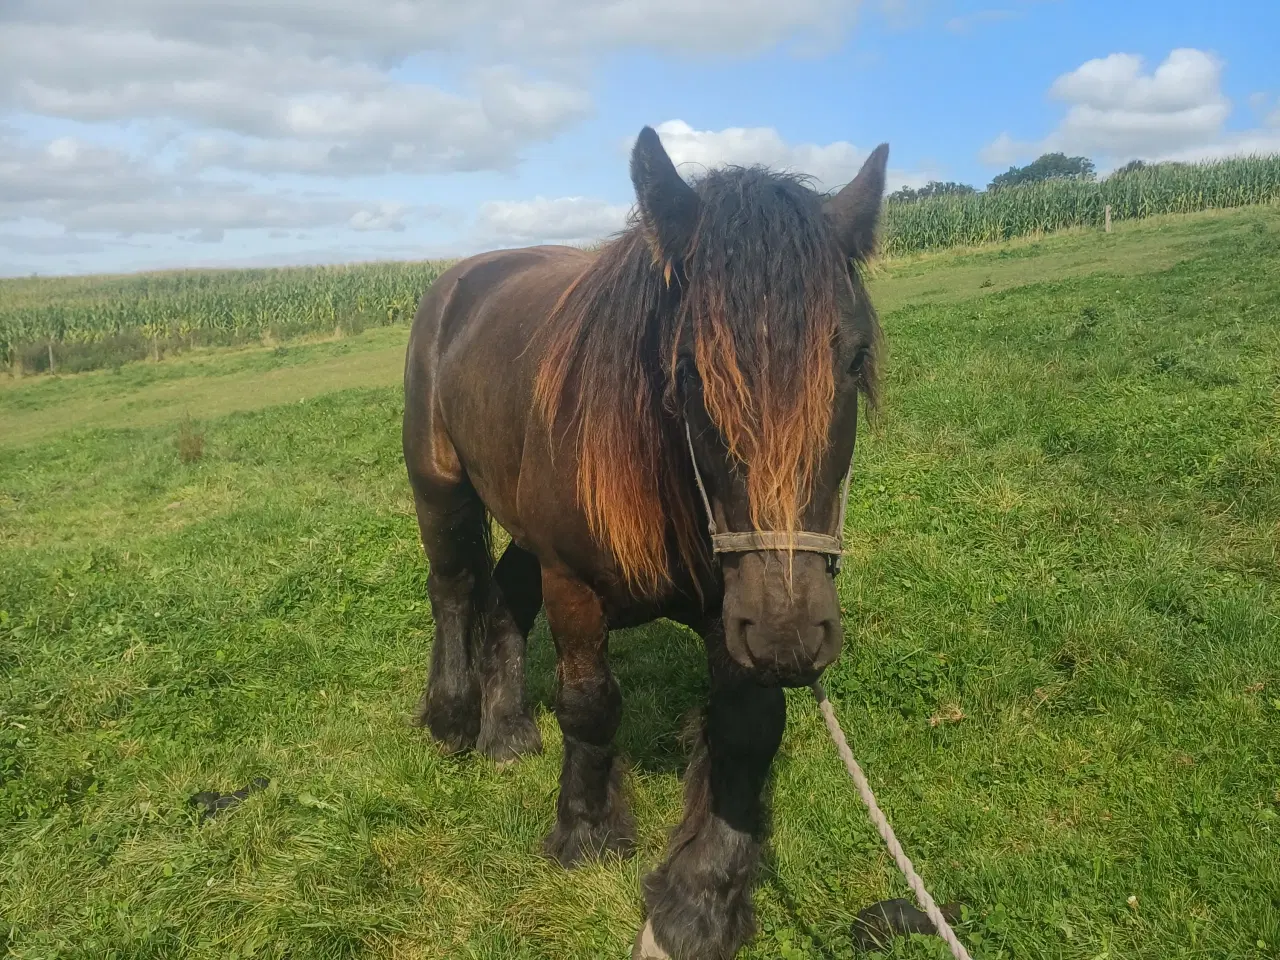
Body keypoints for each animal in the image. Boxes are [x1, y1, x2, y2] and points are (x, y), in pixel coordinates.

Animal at [404, 128, 885, 960]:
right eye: (689, 370)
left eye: (853, 360)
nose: (793, 633)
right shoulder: (576, 583)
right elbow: (590, 704)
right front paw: (586, 832)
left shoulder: (736, 606)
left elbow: (746, 730)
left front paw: (699, 903)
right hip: (442, 488)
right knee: (457, 588)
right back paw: (455, 717)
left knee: (504, 600)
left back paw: (507, 732)